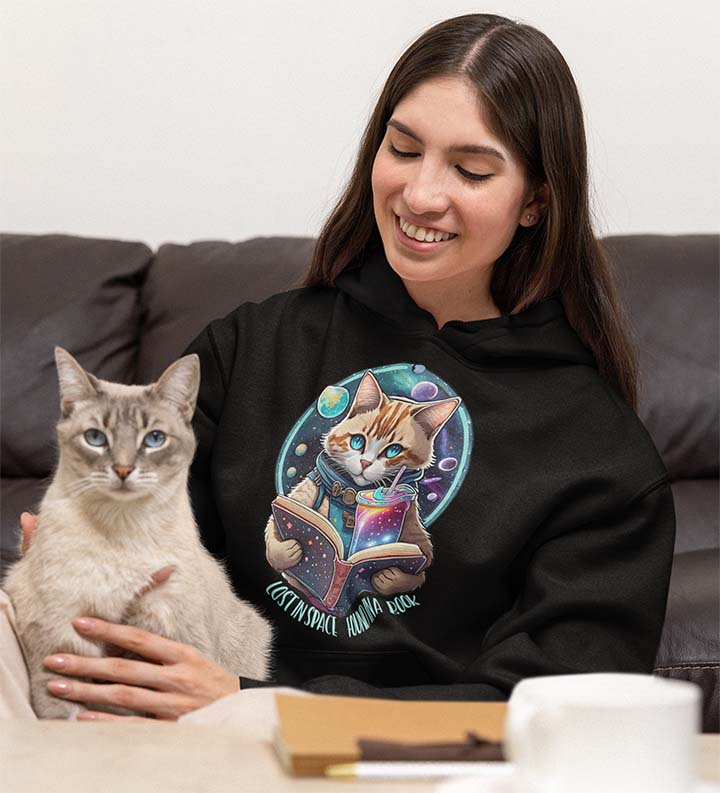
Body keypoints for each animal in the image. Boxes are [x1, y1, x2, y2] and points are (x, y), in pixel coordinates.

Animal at [2, 346, 272, 716]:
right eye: (95, 438)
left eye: (154, 439)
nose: (123, 470)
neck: (122, 530)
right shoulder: (56, 645)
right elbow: (63, 717)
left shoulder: (172, 641)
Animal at [266, 368, 462, 596]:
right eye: (357, 441)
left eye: (393, 451)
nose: (365, 463)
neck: (350, 493)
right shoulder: (297, 499)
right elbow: (273, 528)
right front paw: (288, 550)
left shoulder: (416, 538)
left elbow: (419, 570)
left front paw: (387, 577)